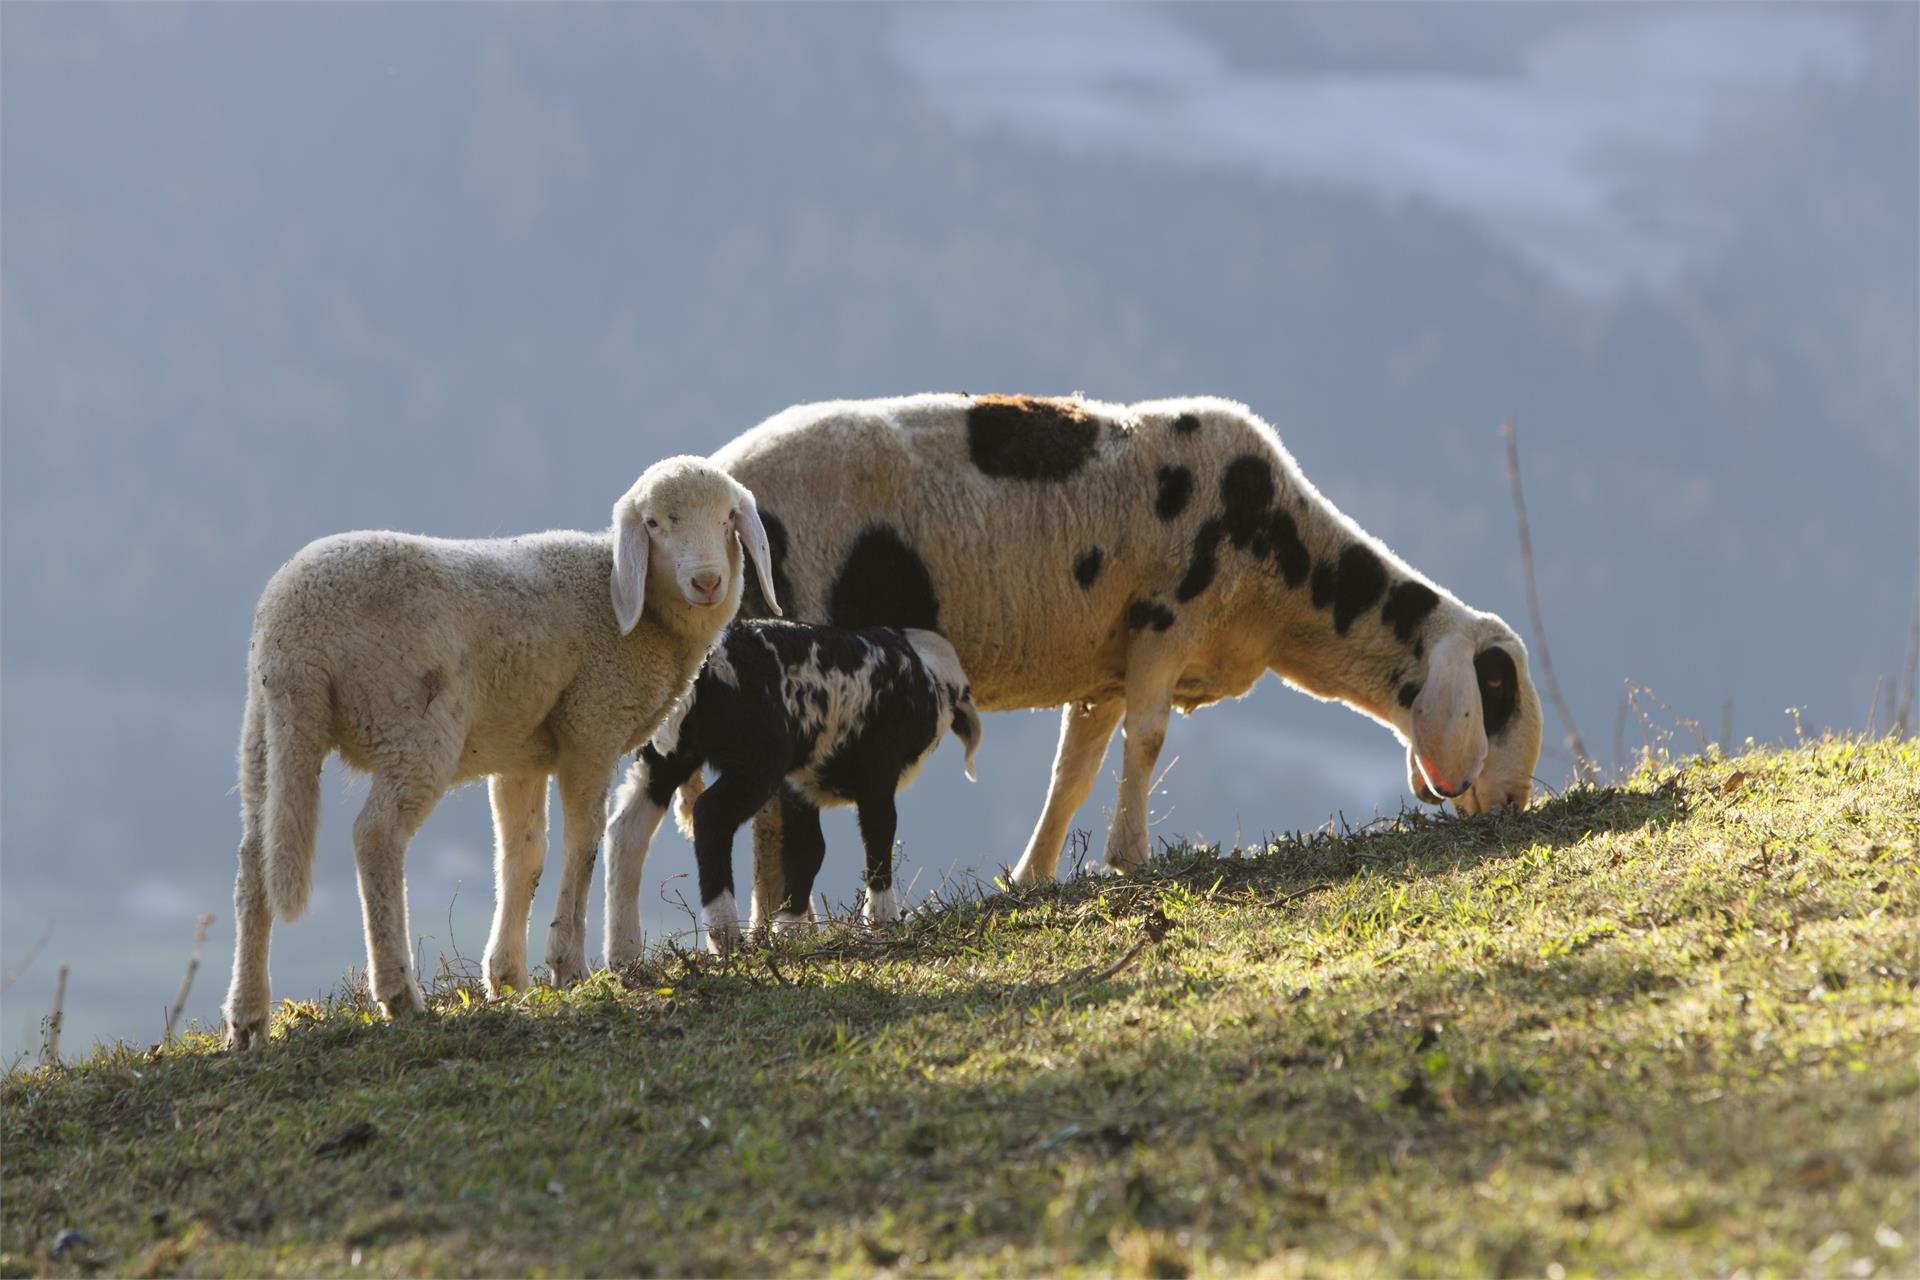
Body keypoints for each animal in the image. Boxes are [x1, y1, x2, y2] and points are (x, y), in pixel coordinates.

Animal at [228, 460, 783, 1051]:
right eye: (654, 523)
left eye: (728, 517)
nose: (707, 581)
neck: (633, 609)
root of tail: (295, 631)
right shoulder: (592, 723)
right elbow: (584, 839)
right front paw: (567, 967)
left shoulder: (522, 753)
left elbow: (523, 854)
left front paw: (508, 978)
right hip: (412, 725)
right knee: (376, 835)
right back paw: (400, 994)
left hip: (268, 734)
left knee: (253, 856)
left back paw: (247, 1017)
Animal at [602, 614, 990, 955]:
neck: (925, 675)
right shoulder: (877, 774)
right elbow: (878, 840)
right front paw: (882, 920)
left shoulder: (799, 785)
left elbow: (808, 850)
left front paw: (787, 928)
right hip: (759, 756)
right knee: (710, 814)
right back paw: (723, 933)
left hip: (665, 755)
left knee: (626, 829)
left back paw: (623, 951)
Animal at [714, 391, 1551, 909]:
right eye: (1497, 690)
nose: (1513, 805)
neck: (1283, 584)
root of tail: (720, 486)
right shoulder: (1165, 619)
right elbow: (1146, 741)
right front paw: (1129, 859)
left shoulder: (1104, 667)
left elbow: (1073, 770)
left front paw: (1032, 876)